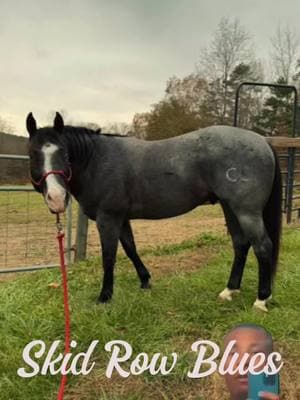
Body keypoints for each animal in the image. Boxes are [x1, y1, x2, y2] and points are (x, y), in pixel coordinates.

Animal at [25, 111, 282, 312]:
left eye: (64, 153)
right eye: (33, 154)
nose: (56, 198)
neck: (97, 161)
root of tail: (262, 141)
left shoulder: (108, 219)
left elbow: (109, 257)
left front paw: (105, 297)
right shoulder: (121, 218)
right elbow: (131, 249)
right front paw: (145, 281)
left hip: (246, 211)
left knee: (262, 247)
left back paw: (261, 300)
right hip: (229, 207)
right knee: (241, 244)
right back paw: (230, 290)